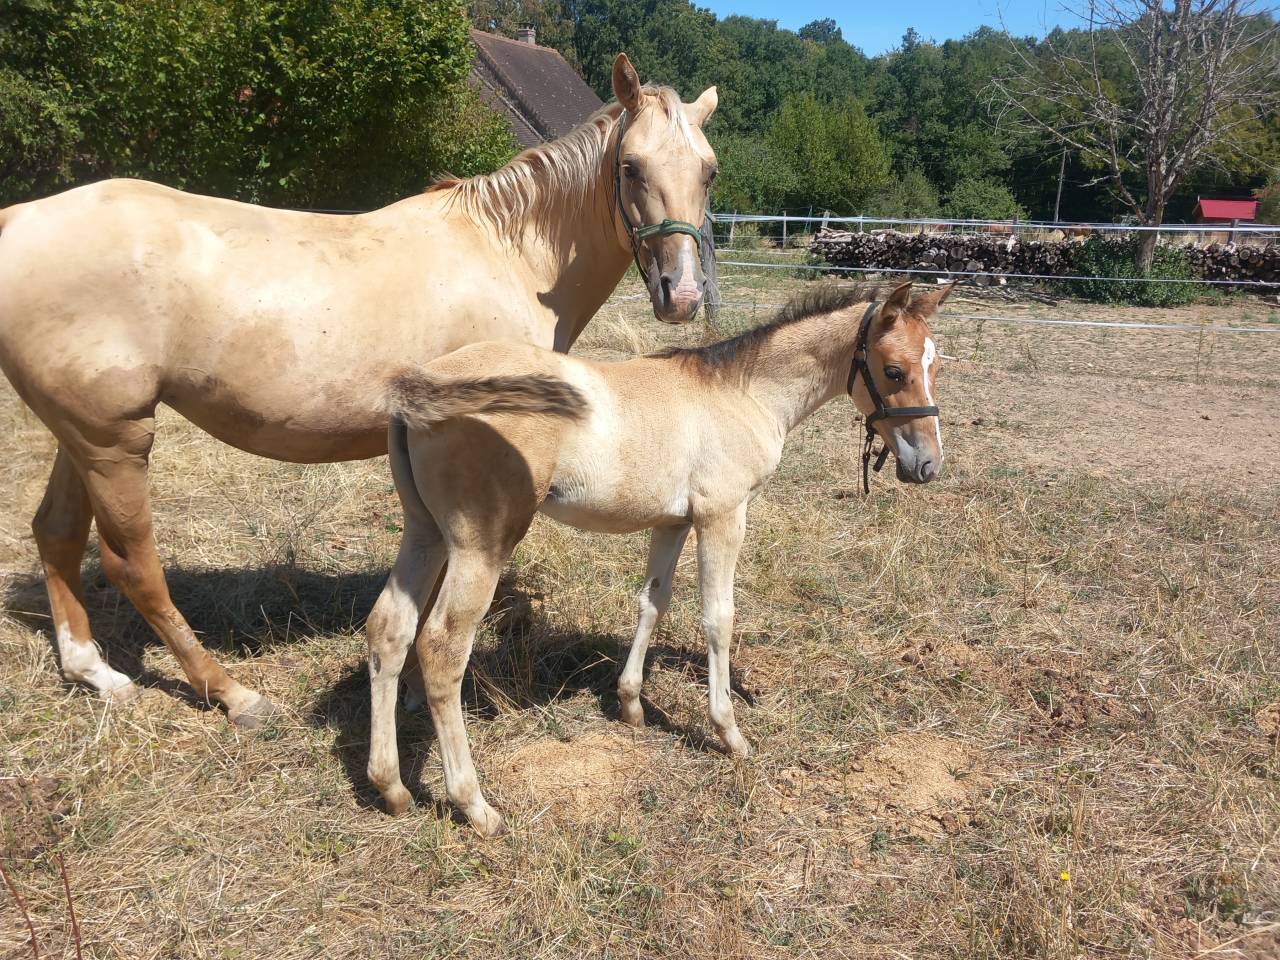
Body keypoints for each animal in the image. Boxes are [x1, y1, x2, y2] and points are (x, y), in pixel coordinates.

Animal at [0, 54, 720, 727]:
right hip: (117, 443)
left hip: (86, 437)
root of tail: (18, 220)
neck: (509, 253)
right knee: (133, 565)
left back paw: (94, 672)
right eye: (630, 166)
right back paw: (232, 693)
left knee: (56, 532)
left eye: (708, 171)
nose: (682, 294)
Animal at [367, 280, 953, 836]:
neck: (741, 392)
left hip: (425, 532)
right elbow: (718, 616)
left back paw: (390, 787)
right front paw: (729, 732)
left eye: (935, 365)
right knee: (442, 648)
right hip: (481, 545)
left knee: (389, 630)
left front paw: (630, 705)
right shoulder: (723, 513)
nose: (927, 465)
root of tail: (422, 381)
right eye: (893, 369)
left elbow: (653, 601)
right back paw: (475, 806)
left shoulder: (673, 522)